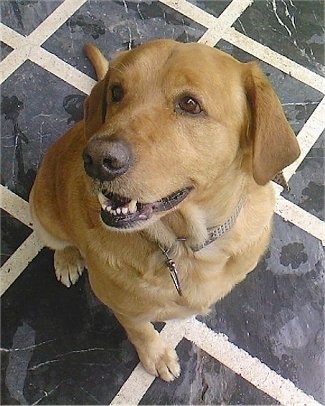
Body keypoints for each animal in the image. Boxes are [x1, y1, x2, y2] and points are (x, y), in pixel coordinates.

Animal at [29, 39, 298, 382]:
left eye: (190, 104)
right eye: (116, 91)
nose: (96, 160)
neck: (185, 244)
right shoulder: (120, 305)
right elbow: (140, 330)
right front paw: (155, 355)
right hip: (43, 213)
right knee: (58, 243)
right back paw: (67, 259)